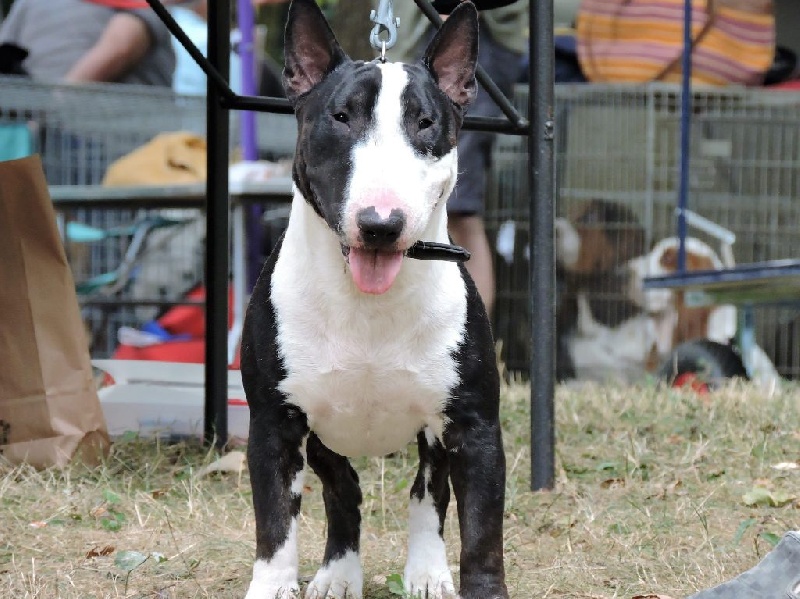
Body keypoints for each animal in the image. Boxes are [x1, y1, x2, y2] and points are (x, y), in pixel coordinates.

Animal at [241, 1, 510, 599]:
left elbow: (482, 536)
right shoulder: (274, 424)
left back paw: (427, 572)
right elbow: (275, 526)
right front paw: (274, 584)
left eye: (425, 122)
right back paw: (338, 575)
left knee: (427, 493)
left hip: (433, 431)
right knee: (344, 488)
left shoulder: (475, 427)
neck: (367, 303)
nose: (380, 225)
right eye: (341, 117)